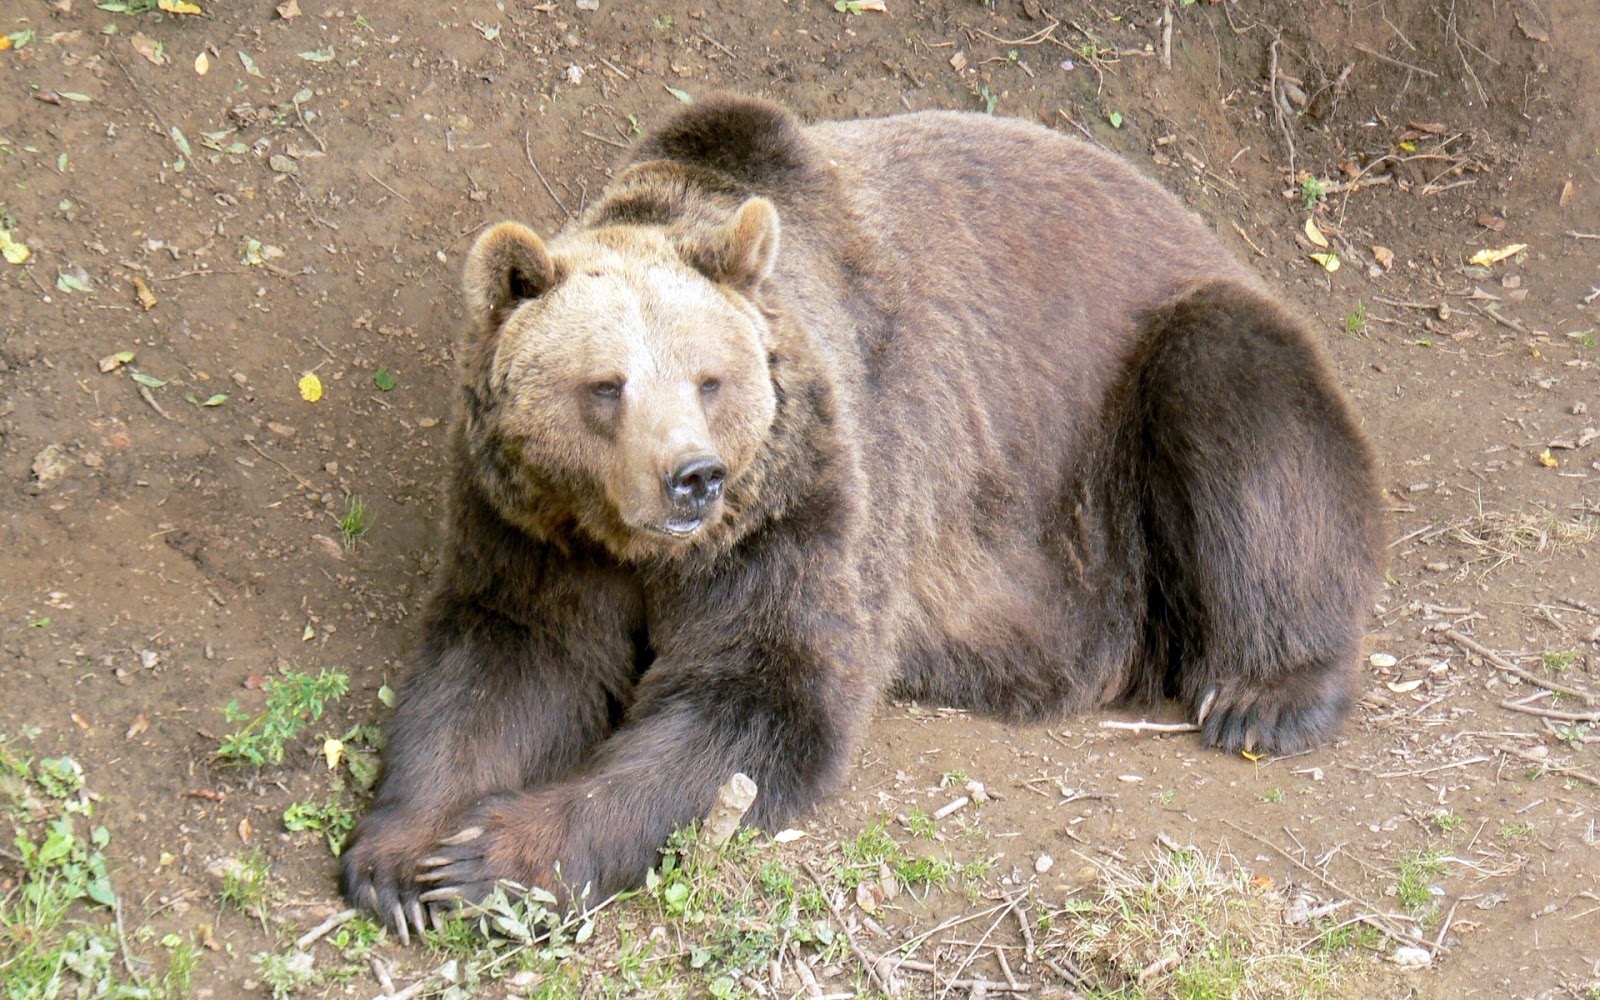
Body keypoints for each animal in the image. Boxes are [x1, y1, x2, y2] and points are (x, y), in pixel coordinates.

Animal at [344, 91, 1382, 934]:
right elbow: (507, 660)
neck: (637, 549)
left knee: (1235, 397)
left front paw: (496, 854)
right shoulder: (528, 528)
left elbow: (764, 698)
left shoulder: (806, 502)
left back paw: (1264, 694)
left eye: (710, 378)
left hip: (1130, 424)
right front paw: (405, 857)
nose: (693, 477)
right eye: (607, 385)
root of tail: (1209, 228)